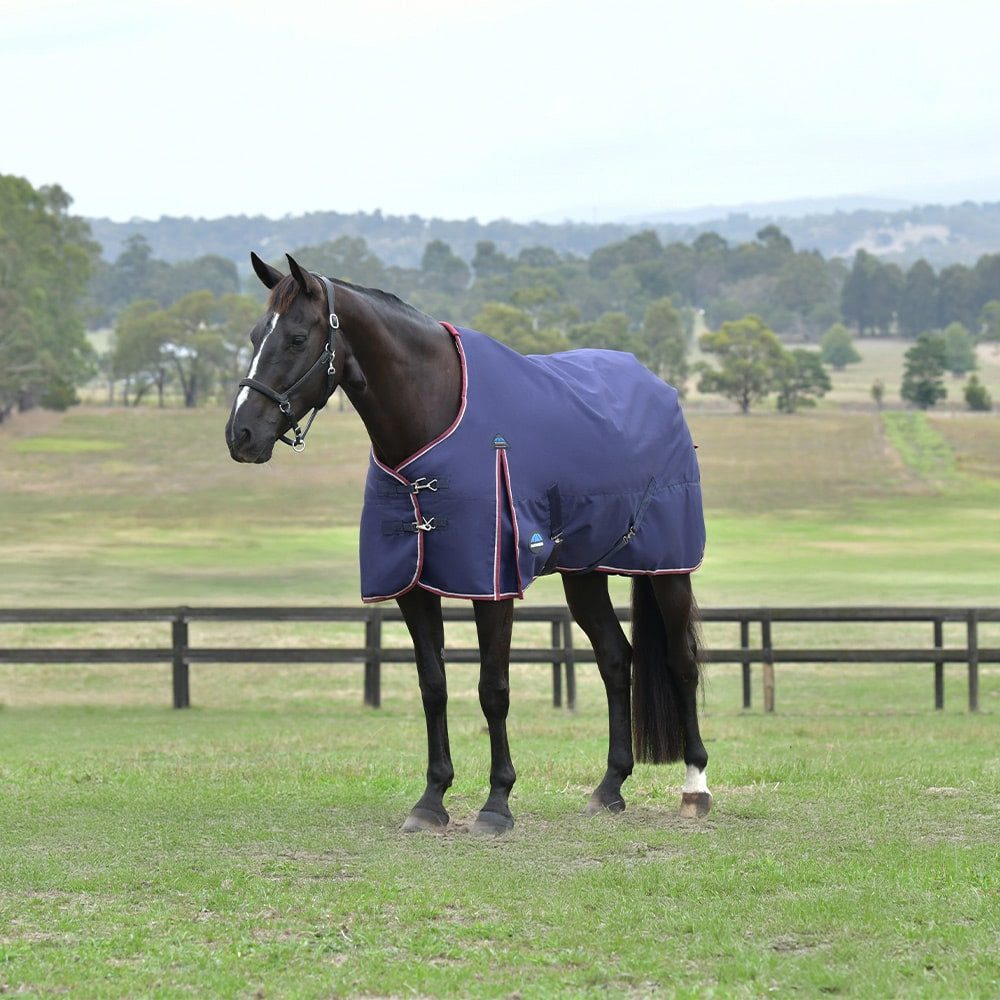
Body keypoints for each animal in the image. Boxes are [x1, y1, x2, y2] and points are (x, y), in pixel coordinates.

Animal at [225, 252, 711, 835]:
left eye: (297, 338)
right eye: (256, 335)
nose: (240, 435)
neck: (431, 423)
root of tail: (658, 389)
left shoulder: (492, 586)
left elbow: (492, 689)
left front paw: (496, 803)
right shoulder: (412, 588)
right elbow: (433, 686)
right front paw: (431, 800)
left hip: (669, 570)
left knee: (682, 661)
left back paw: (695, 787)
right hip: (585, 573)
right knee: (617, 660)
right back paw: (609, 787)